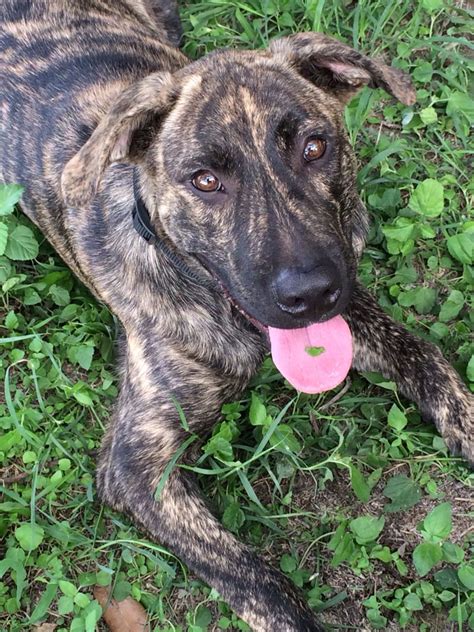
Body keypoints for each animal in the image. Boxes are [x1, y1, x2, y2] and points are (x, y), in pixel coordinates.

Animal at [0, 1, 474, 632]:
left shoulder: (351, 304)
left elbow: (426, 357)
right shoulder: (137, 465)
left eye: (315, 147)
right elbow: (258, 581)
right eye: (206, 181)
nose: (310, 294)